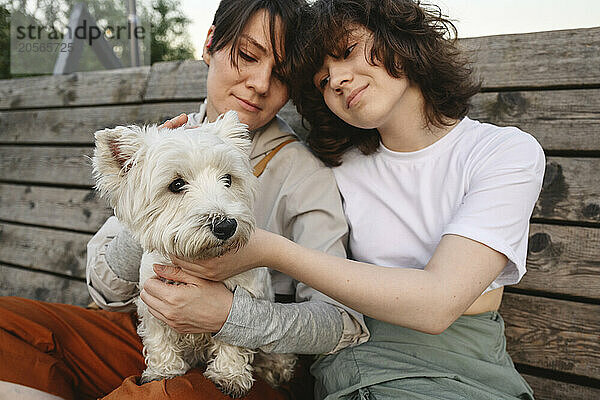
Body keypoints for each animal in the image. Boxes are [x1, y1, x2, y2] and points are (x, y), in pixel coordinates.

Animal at [91, 111, 296, 398]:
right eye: (176, 184)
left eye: (228, 179)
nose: (226, 226)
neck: (196, 258)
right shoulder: (153, 300)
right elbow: (159, 339)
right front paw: (163, 372)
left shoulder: (239, 300)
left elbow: (233, 338)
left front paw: (229, 377)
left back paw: (275, 369)